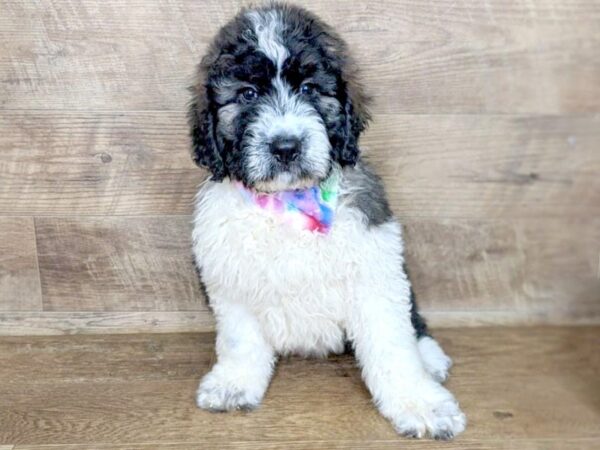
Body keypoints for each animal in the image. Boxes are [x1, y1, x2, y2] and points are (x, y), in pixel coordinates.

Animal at [190, 3, 466, 440]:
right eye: (248, 94)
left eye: (308, 89)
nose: (285, 146)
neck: (290, 201)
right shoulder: (231, 279)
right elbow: (239, 341)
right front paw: (233, 384)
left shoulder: (374, 273)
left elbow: (393, 345)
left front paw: (421, 404)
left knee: (414, 321)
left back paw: (430, 357)